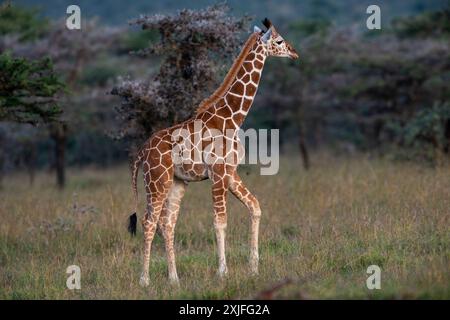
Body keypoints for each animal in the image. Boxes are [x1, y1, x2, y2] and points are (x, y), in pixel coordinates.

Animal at [130, 18, 298, 288]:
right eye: (280, 40)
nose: (294, 53)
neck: (232, 117)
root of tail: (141, 153)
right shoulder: (218, 173)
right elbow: (220, 221)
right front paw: (223, 272)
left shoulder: (230, 172)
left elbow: (255, 207)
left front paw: (253, 268)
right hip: (157, 181)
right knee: (148, 222)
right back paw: (144, 280)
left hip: (177, 182)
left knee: (167, 224)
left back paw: (174, 279)